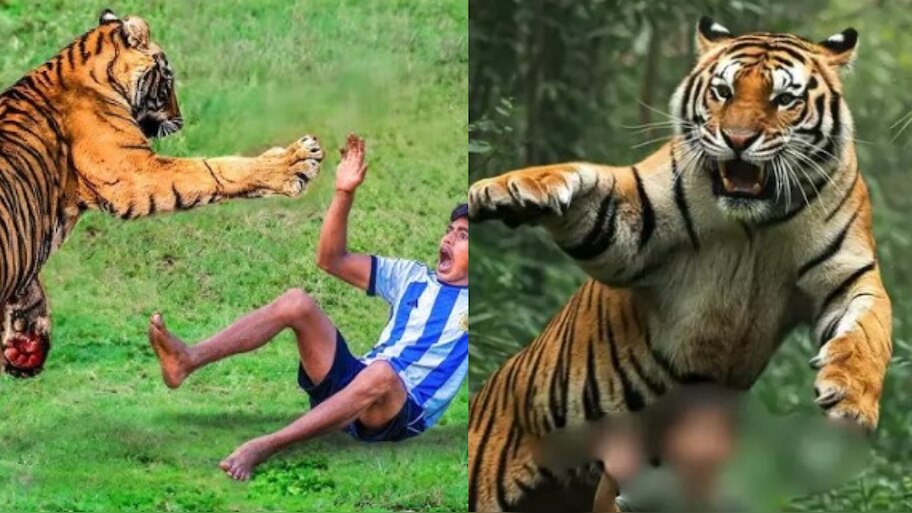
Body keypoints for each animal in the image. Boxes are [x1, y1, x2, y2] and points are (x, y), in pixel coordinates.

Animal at [0, 10, 325, 378]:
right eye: (168, 80)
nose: (180, 119)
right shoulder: (135, 172)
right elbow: (213, 169)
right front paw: (296, 162)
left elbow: (31, 286)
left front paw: (25, 345)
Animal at [467, 17, 892, 512]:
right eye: (724, 91)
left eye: (784, 99)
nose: (738, 141)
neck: (755, 225)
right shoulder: (629, 229)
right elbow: (584, 179)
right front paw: (509, 190)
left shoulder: (849, 275)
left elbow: (869, 331)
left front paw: (851, 398)